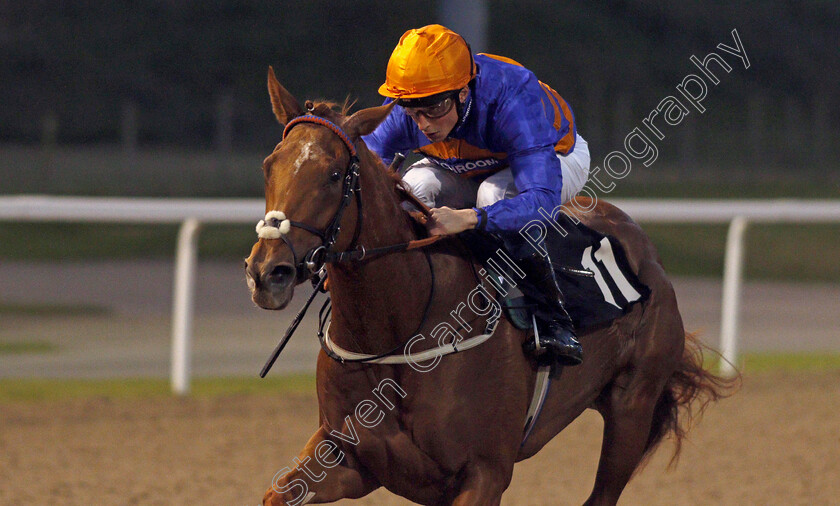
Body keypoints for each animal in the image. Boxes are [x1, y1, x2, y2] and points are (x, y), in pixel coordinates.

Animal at [246, 67, 732, 506]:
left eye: (333, 176)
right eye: (269, 166)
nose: (267, 272)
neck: (398, 330)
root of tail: (642, 243)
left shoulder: (484, 473)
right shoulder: (349, 457)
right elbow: (277, 493)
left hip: (632, 409)